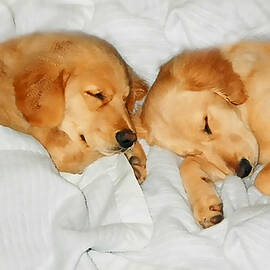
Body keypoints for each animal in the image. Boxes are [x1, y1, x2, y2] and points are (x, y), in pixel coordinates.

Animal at [135, 41, 270, 228]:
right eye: (194, 151)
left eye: (206, 125)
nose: (243, 171)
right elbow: (187, 165)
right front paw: (206, 204)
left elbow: (261, 179)